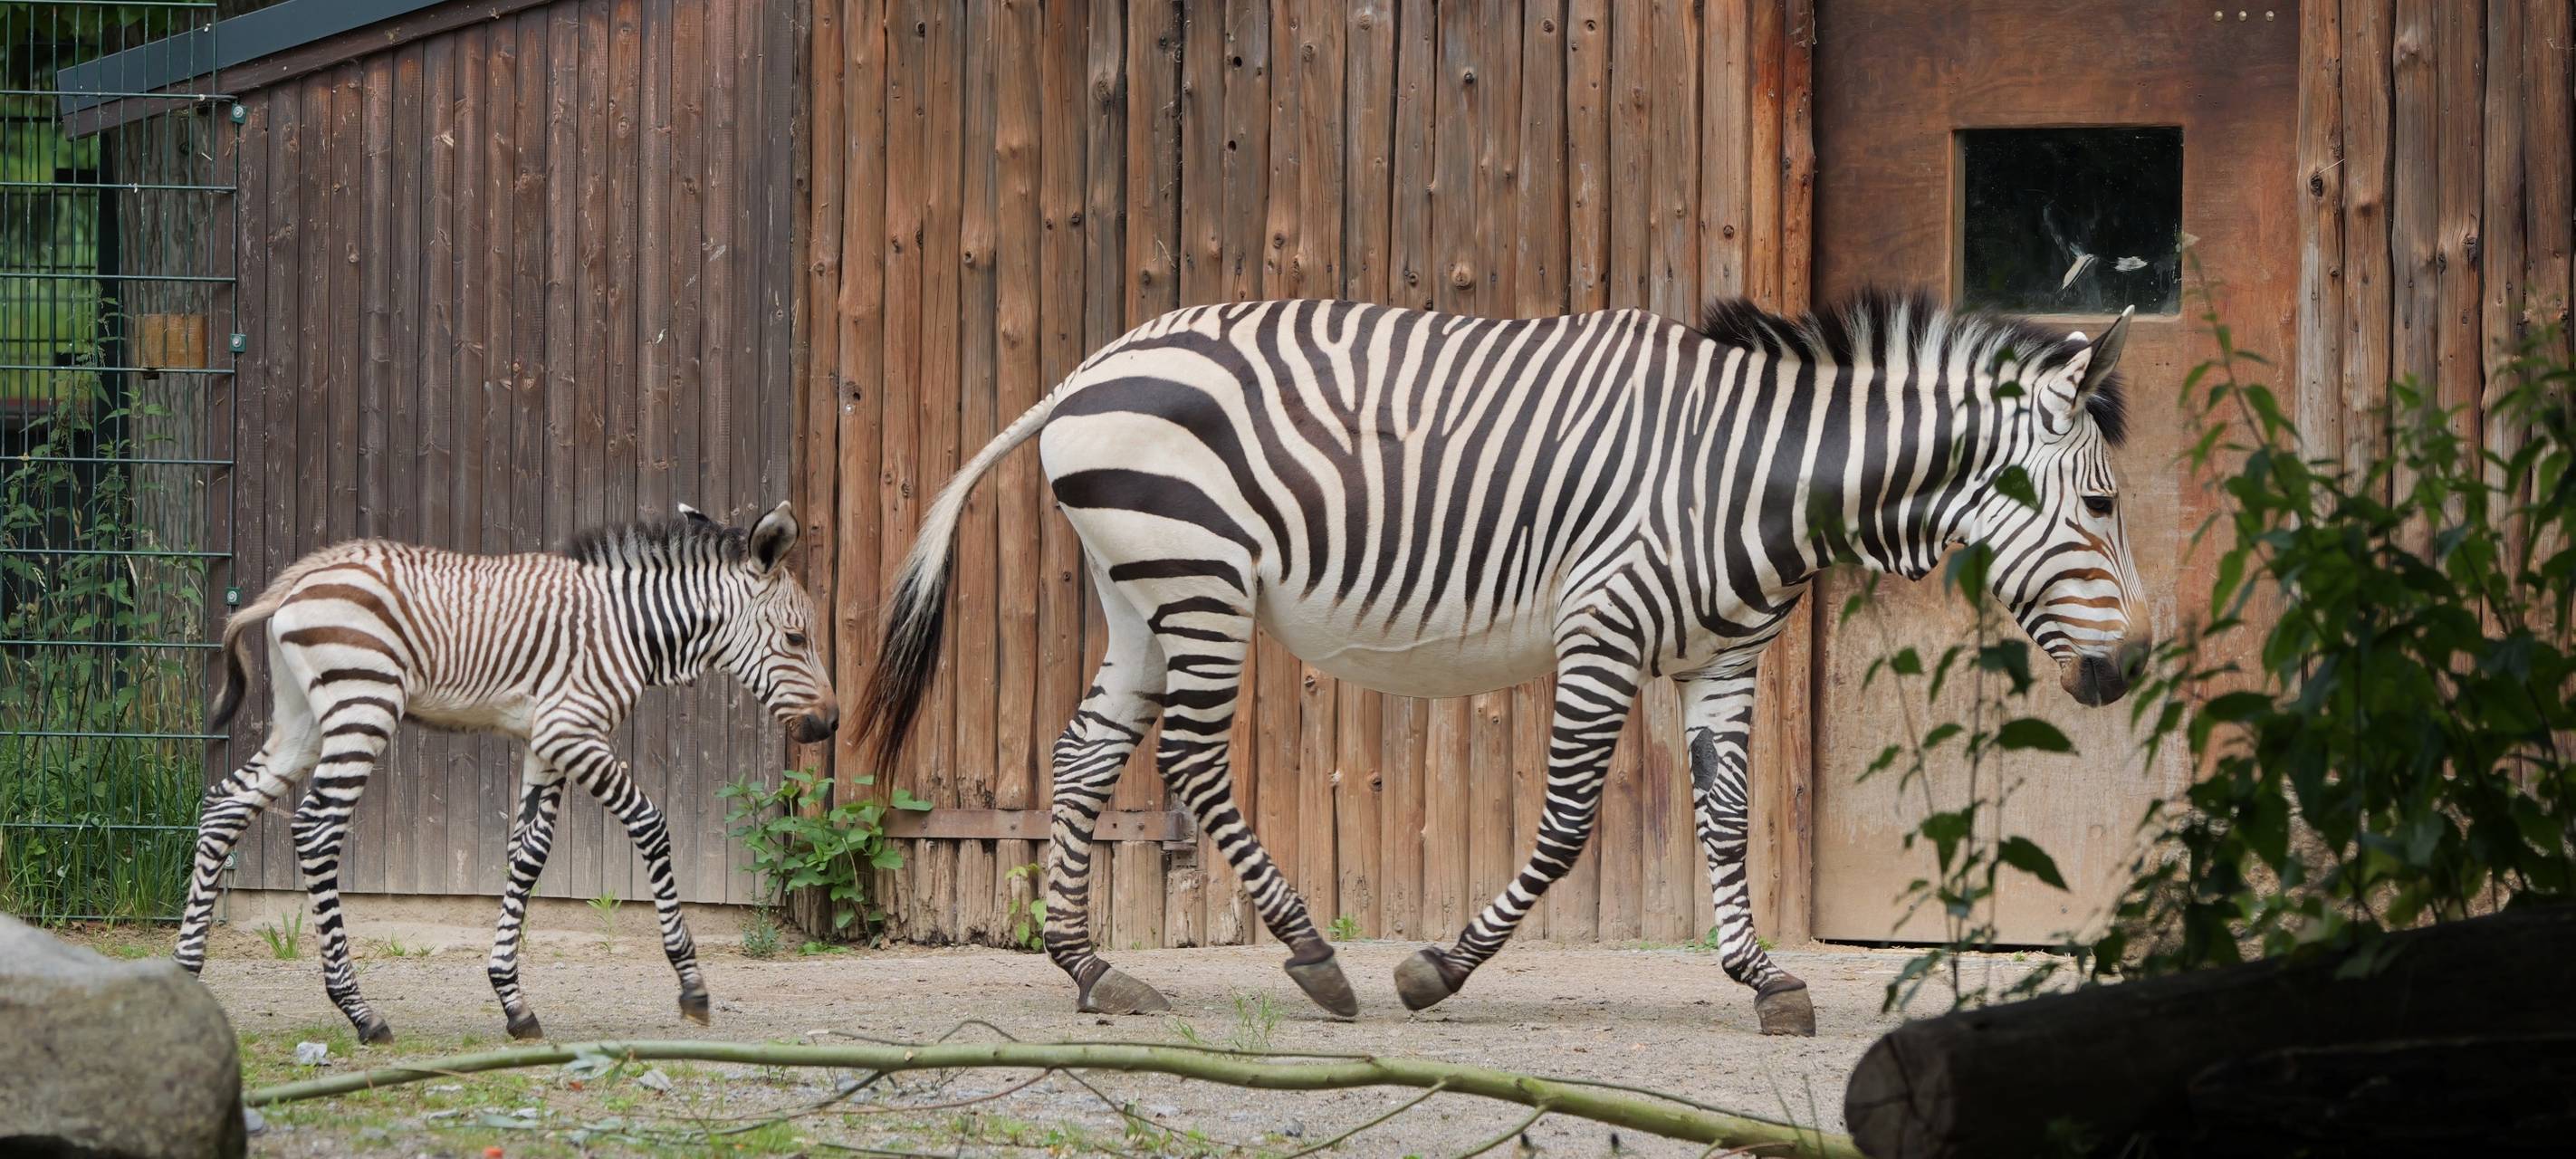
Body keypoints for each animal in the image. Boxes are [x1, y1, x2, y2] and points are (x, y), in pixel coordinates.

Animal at [178, 501, 836, 1044]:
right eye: (795, 638)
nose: (829, 723)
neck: (630, 628)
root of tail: (295, 583)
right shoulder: (573, 730)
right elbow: (650, 825)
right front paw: (691, 984)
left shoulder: (545, 740)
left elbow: (528, 854)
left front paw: (512, 1000)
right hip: (363, 706)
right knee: (316, 829)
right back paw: (360, 1012)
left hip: (304, 721)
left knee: (224, 807)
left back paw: (186, 974)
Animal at [854, 291, 2145, 1035]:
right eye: (2099, 503)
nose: (2130, 668)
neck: (1760, 476)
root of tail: (1084, 371)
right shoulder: (1603, 627)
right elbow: (1568, 821)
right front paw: (1436, 969)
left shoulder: (1725, 658)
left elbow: (1728, 823)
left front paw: (1764, 977)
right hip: (1197, 572)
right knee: (1190, 759)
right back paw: (1315, 958)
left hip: (1140, 592)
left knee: (1083, 754)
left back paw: (1089, 969)